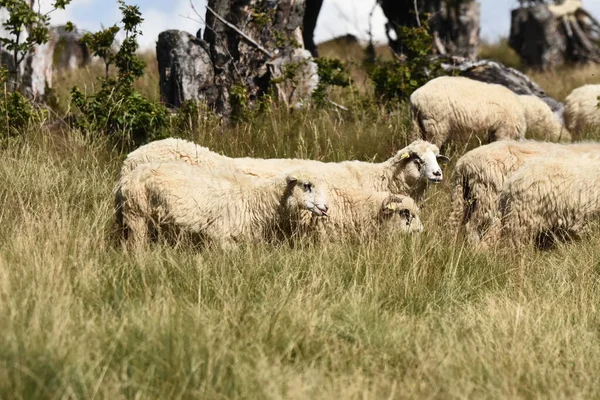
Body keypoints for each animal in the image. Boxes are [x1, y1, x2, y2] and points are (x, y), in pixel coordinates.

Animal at [113, 161, 328, 248]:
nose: (325, 208)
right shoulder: (223, 236)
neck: (255, 197)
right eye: (307, 185)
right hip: (136, 215)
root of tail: (125, 179)